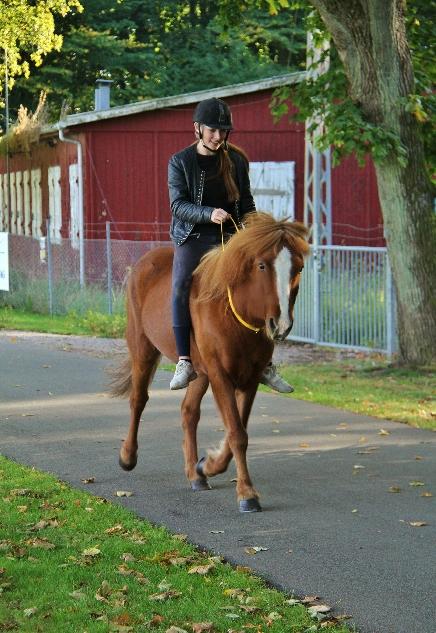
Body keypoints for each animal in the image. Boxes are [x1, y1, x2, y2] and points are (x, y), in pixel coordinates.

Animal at [112, 215, 310, 512]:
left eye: (298, 267)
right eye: (262, 265)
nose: (281, 325)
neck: (232, 314)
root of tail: (145, 262)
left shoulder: (249, 379)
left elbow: (236, 431)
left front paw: (207, 465)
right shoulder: (220, 375)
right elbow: (237, 434)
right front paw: (247, 494)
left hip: (200, 372)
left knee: (188, 412)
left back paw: (195, 475)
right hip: (142, 348)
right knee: (139, 399)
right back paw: (127, 456)